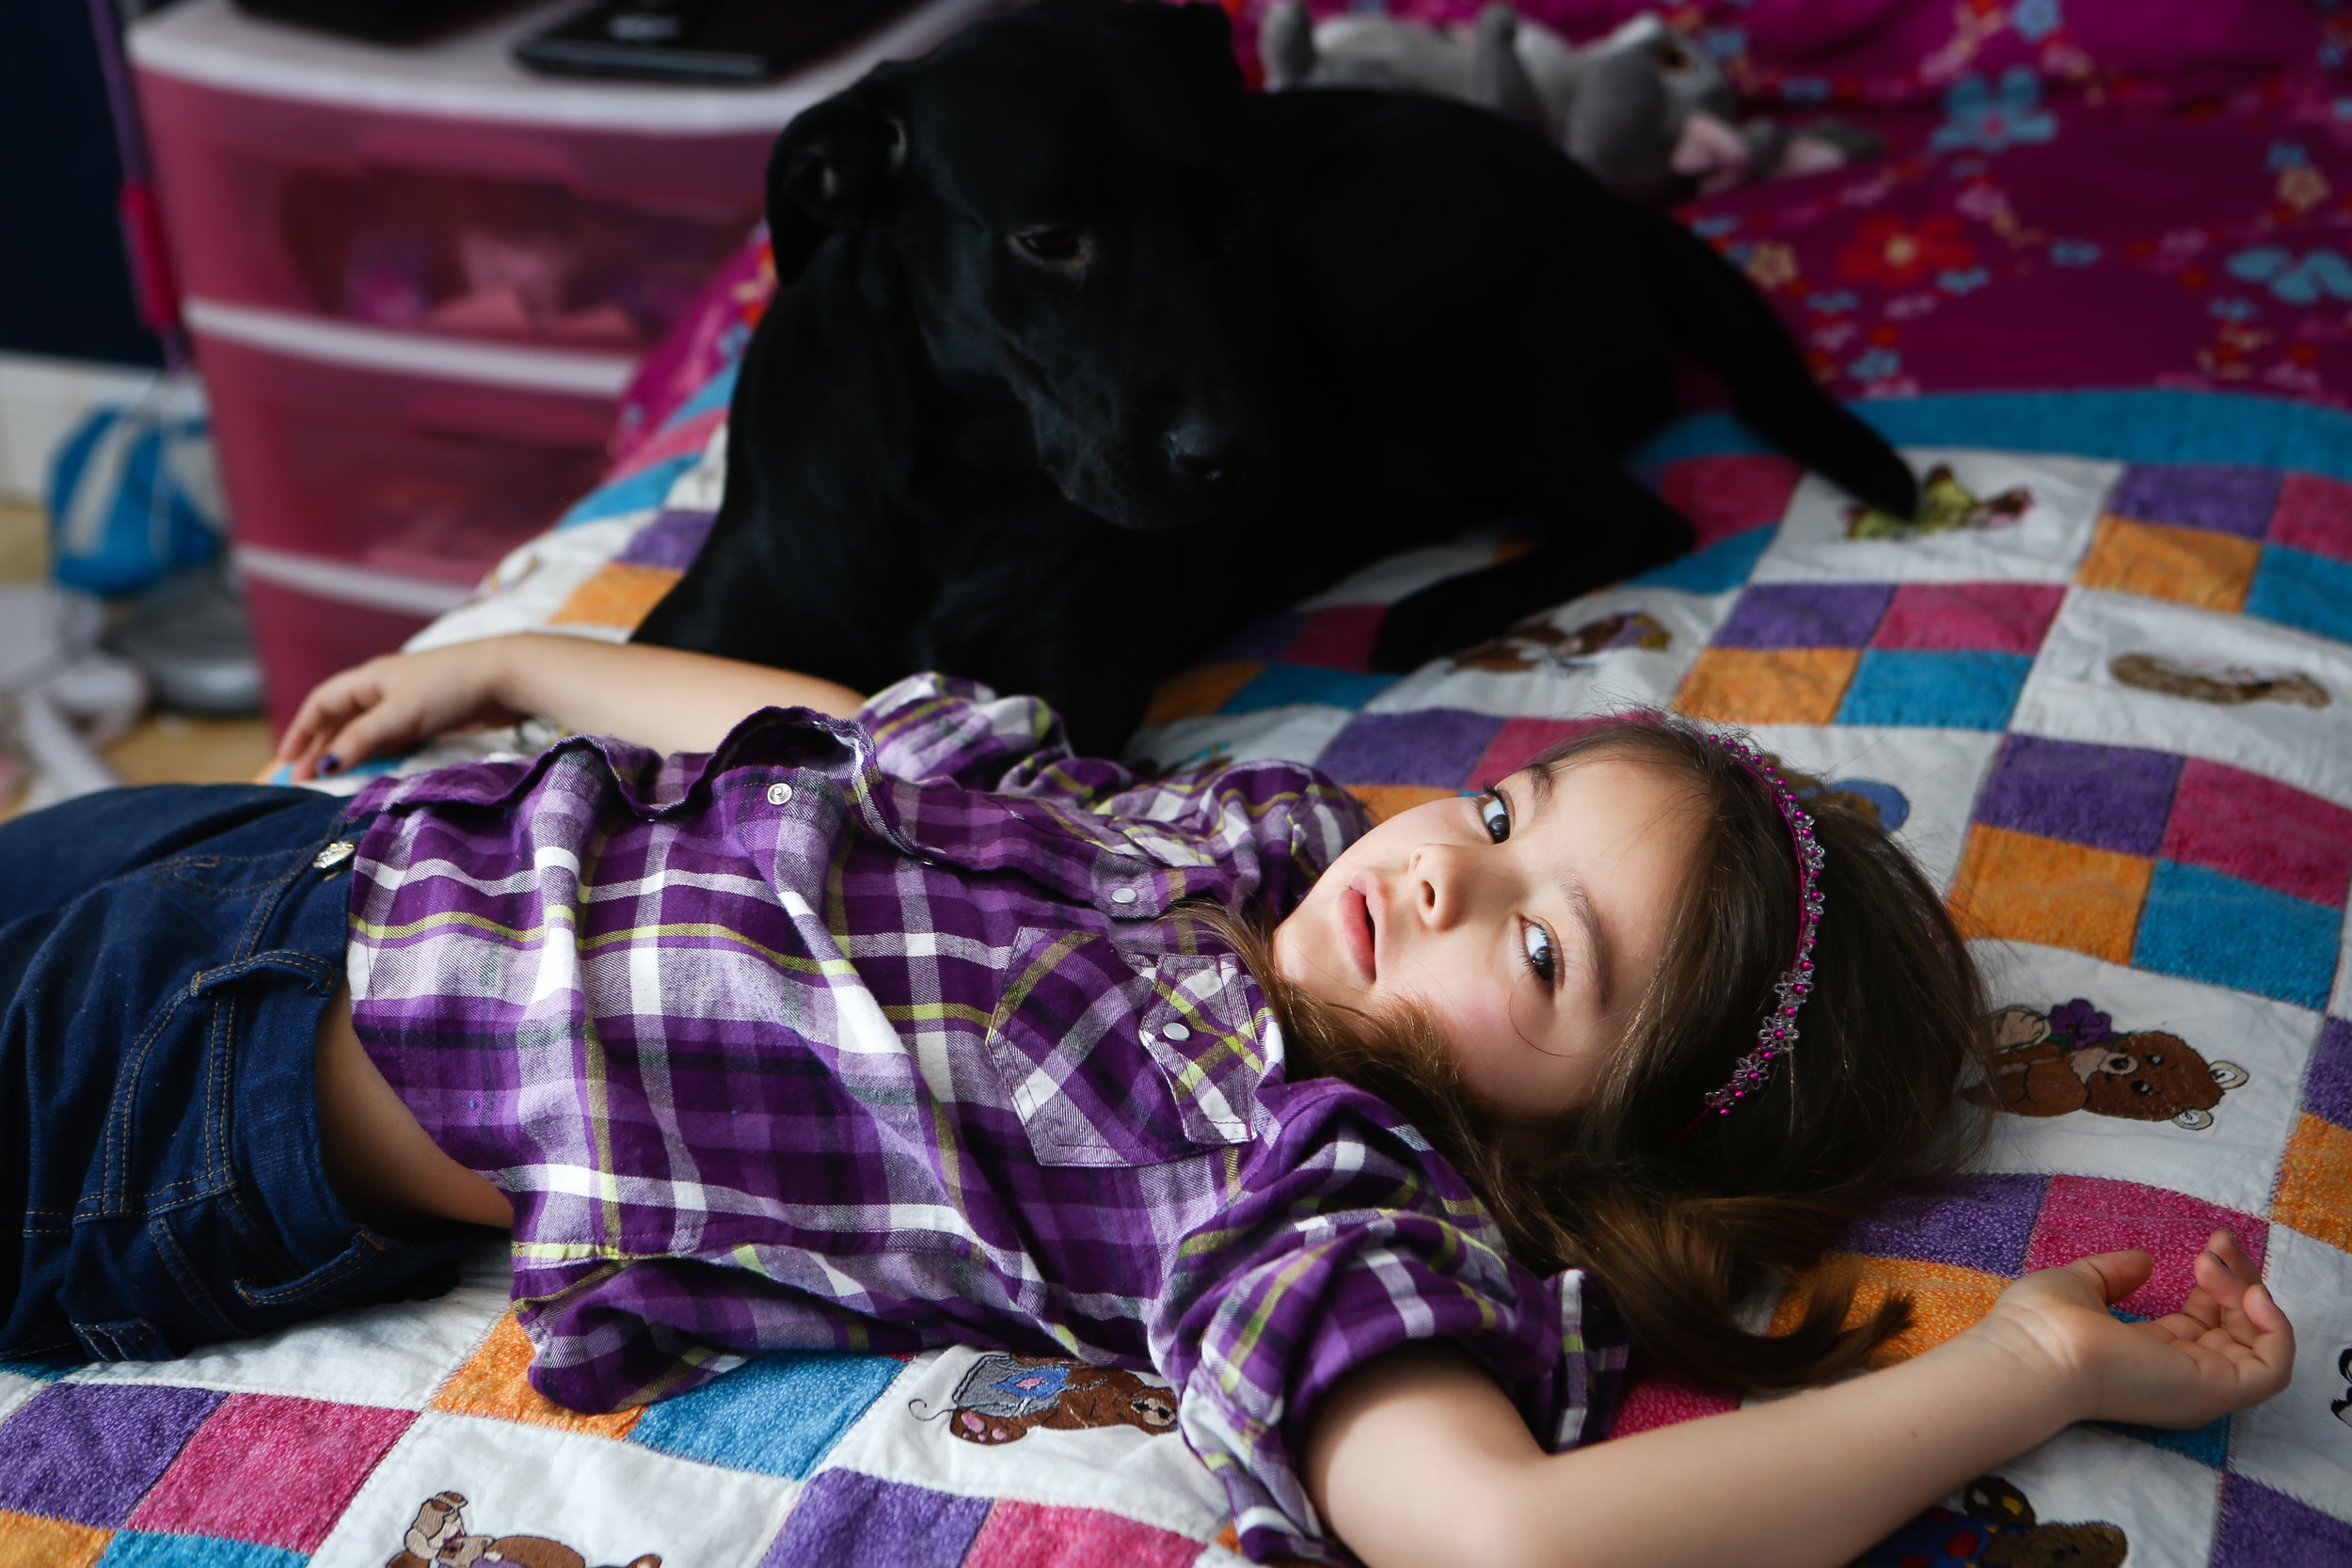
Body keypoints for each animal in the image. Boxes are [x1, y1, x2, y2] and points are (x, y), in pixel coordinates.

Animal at [635, 0, 1919, 752]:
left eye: (1233, 219)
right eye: (1048, 240)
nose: (1238, 456)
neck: (948, 482)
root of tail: (1607, 197)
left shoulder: (1057, 700)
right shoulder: (686, 640)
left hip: (1378, 270)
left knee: (1635, 510)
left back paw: (1436, 605)